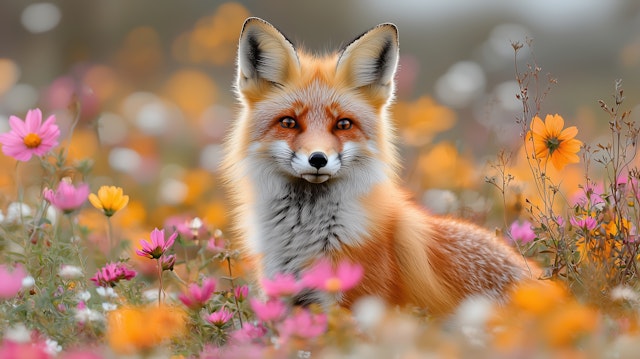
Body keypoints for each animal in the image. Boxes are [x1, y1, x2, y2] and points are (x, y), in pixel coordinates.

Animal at [222, 17, 532, 316]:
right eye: (289, 122)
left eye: (343, 124)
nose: (318, 159)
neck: (303, 239)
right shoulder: (282, 295)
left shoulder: (355, 301)